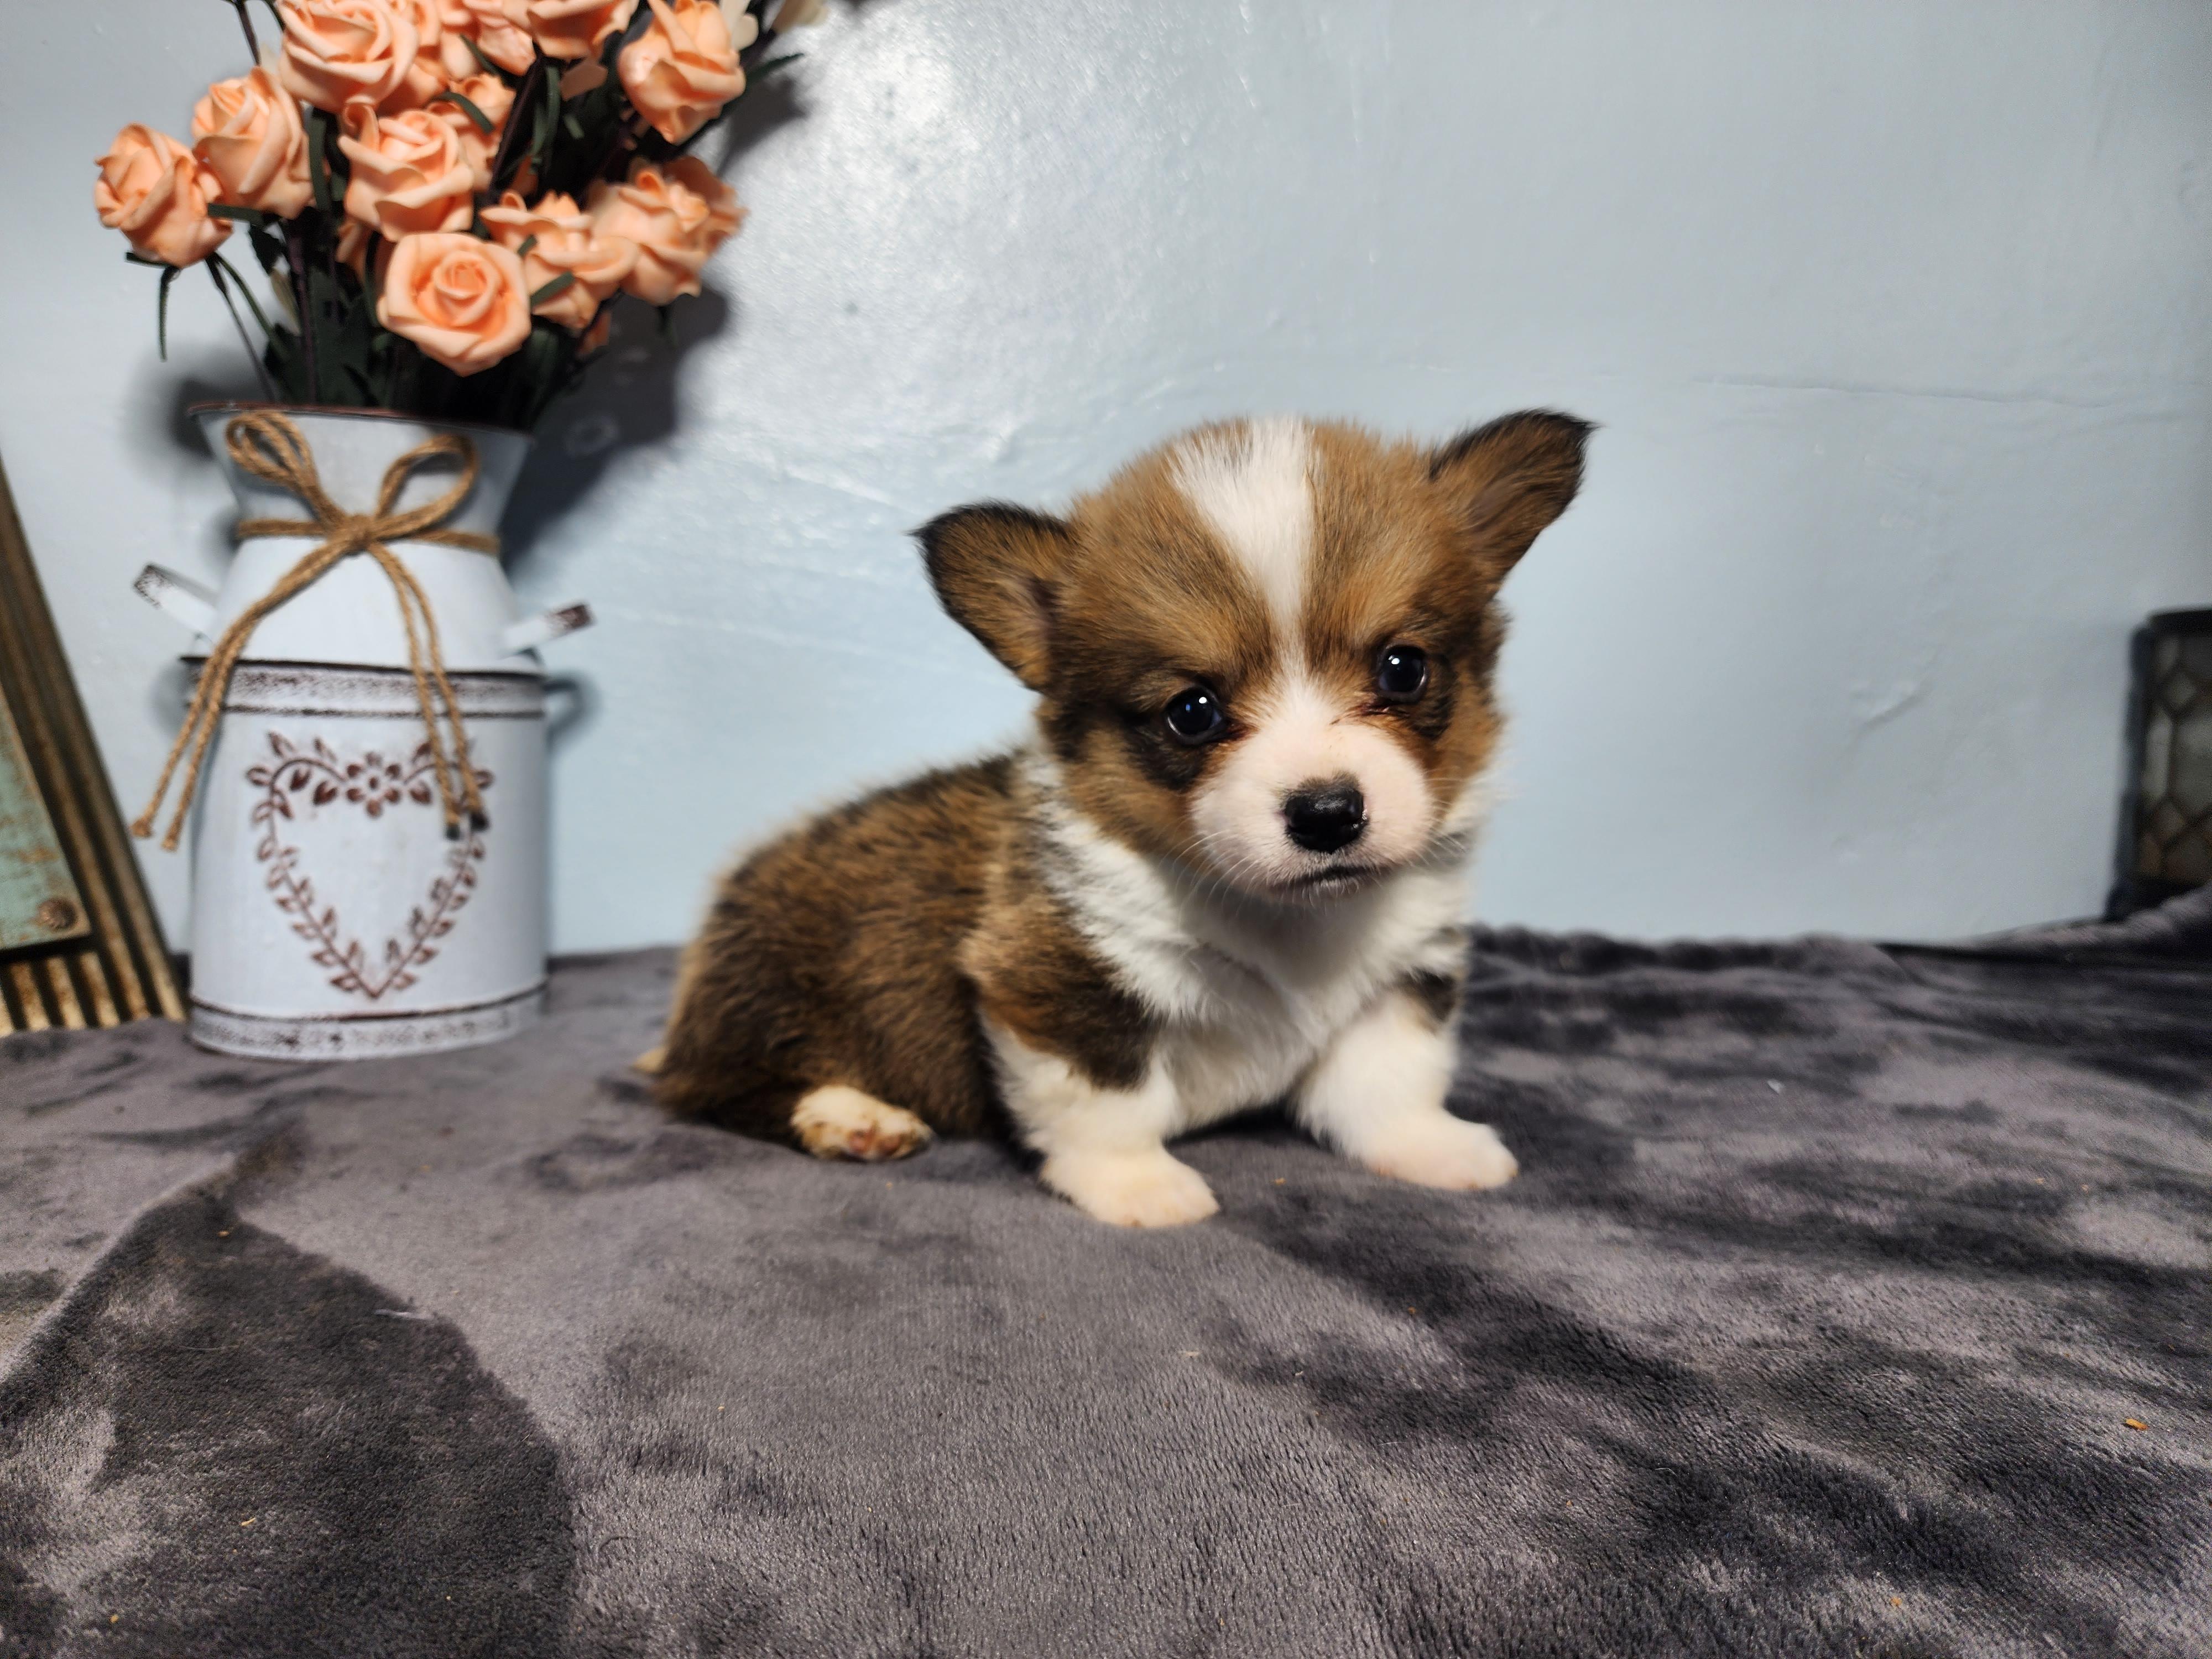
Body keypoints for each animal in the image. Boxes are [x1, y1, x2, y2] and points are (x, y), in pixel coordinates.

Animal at [649, 411, 1589, 1226]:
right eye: (1193, 712)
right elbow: (1109, 1101)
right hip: (767, 1003)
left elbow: (1390, 1084)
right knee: (714, 1089)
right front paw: (1141, 1190)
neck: (1285, 919)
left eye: (1403, 669)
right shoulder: (1060, 982)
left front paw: (1434, 1150)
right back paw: (851, 1117)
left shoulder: (1400, 979)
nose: (1327, 815)